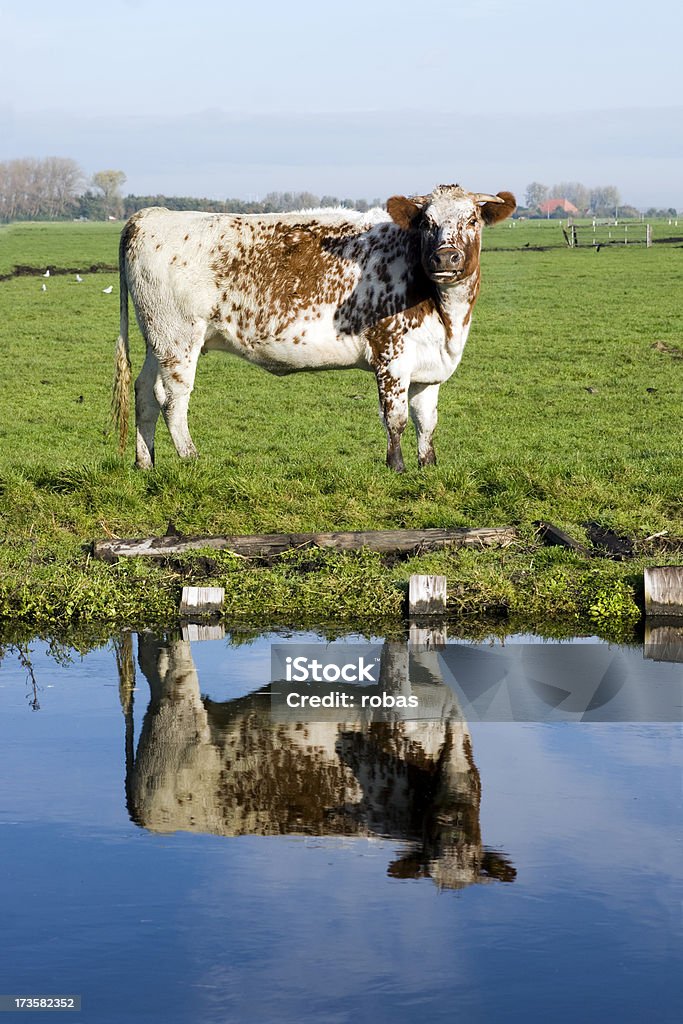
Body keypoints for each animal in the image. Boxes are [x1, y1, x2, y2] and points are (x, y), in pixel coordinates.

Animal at [112, 186, 516, 468]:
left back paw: (146, 463)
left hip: (156, 340)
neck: (448, 319)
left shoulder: (427, 367)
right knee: (172, 399)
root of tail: (150, 215)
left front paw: (427, 466)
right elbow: (396, 418)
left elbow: (426, 421)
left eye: (472, 221)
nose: (446, 257)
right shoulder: (391, 356)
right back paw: (191, 459)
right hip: (178, 338)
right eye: (427, 223)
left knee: (145, 393)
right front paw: (397, 467)